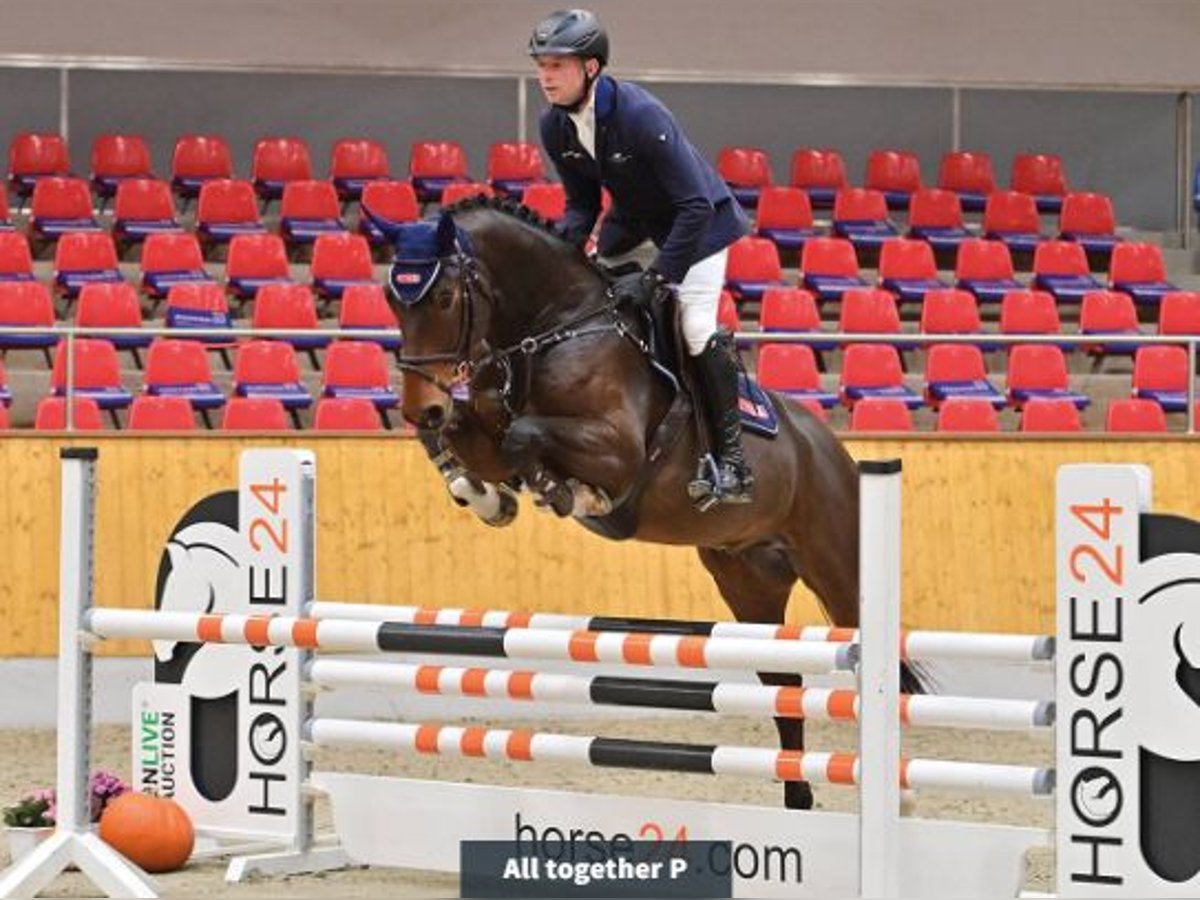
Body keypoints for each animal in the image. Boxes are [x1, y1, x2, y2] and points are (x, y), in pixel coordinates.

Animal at [380, 195, 924, 809]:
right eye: (392, 298)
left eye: (445, 297)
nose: (419, 405)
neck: (554, 329)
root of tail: (833, 448)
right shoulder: (486, 430)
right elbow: (461, 440)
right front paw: (486, 495)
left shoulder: (618, 451)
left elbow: (525, 435)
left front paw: (566, 492)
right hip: (748, 581)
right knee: (783, 684)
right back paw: (798, 797)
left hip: (836, 566)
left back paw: (900, 795)